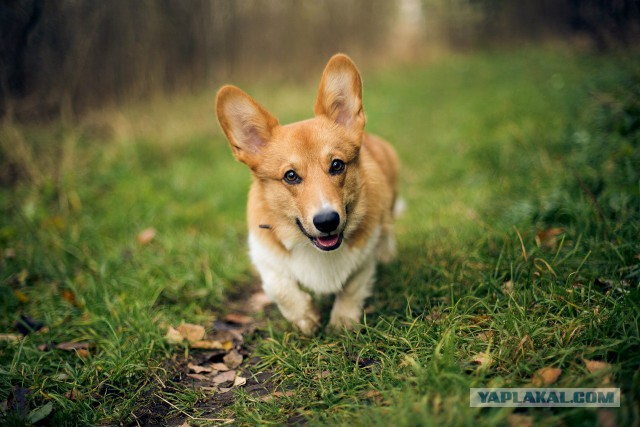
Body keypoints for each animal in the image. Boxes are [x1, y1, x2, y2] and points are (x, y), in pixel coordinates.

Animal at [218, 53, 402, 334]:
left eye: (337, 165)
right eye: (290, 176)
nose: (327, 221)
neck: (315, 250)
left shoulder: (365, 256)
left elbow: (353, 286)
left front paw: (342, 321)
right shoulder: (264, 255)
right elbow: (281, 288)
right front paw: (305, 317)